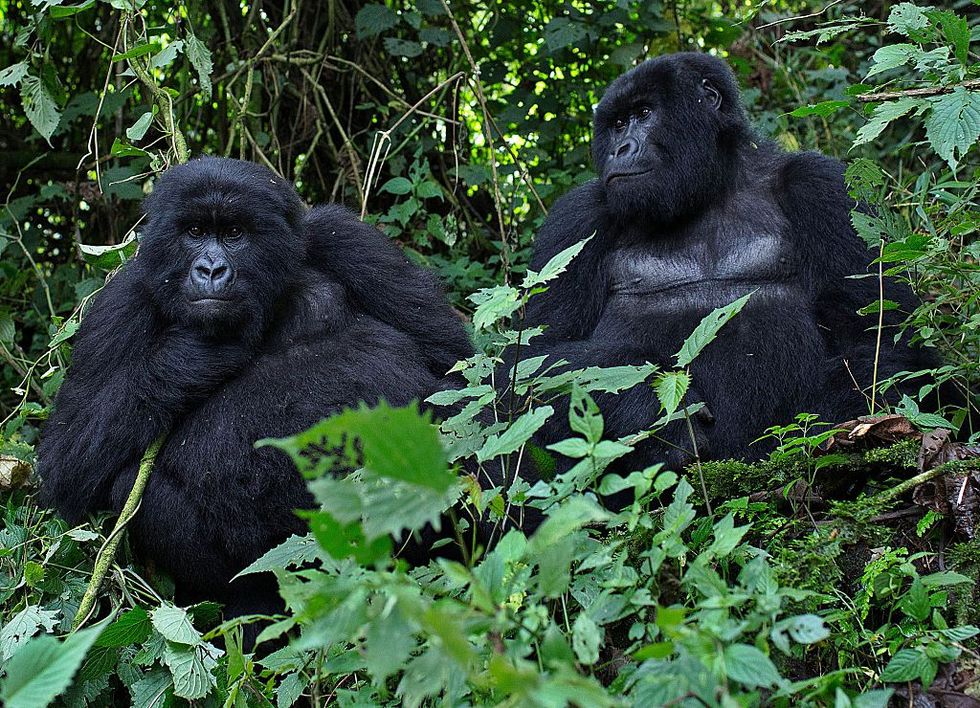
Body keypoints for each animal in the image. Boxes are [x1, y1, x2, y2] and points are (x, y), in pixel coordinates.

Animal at [40, 159, 476, 624]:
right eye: (194, 232)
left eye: (234, 234)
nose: (210, 270)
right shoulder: (121, 302)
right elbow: (66, 464)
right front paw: (191, 354)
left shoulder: (346, 238)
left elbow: (454, 372)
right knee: (129, 488)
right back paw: (252, 603)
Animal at [516, 51, 936, 482]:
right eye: (617, 124)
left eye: (644, 113)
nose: (620, 148)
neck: (709, 189)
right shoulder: (578, 218)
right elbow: (533, 365)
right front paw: (648, 409)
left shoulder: (823, 187)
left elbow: (882, 345)